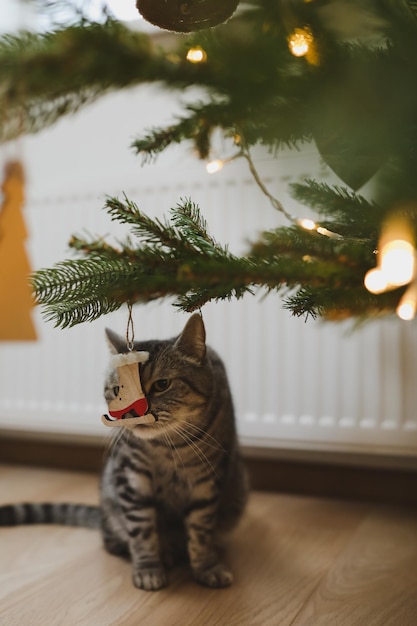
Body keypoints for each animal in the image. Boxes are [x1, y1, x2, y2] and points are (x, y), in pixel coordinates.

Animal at [0, 314, 247, 588]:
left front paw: (207, 566)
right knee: (112, 538)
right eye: (119, 390)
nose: (132, 412)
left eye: (162, 384)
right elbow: (142, 529)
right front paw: (149, 568)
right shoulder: (131, 474)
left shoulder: (206, 478)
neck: (167, 446)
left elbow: (201, 529)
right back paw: (161, 551)